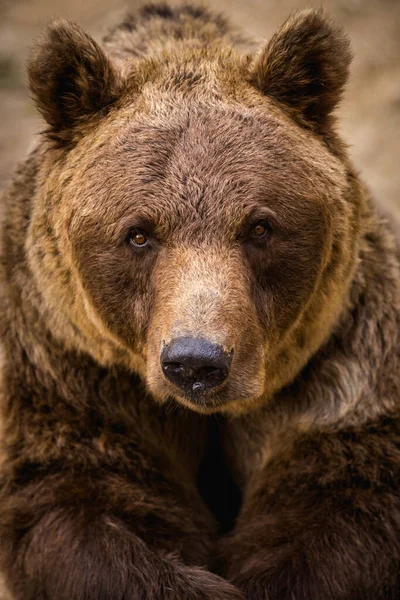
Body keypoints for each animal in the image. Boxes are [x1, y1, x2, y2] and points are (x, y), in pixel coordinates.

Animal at [0, 0, 400, 596]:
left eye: (260, 226)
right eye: (138, 233)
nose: (197, 362)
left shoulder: (341, 368)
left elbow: (336, 507)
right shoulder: (64, 370)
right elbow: (84, 505)